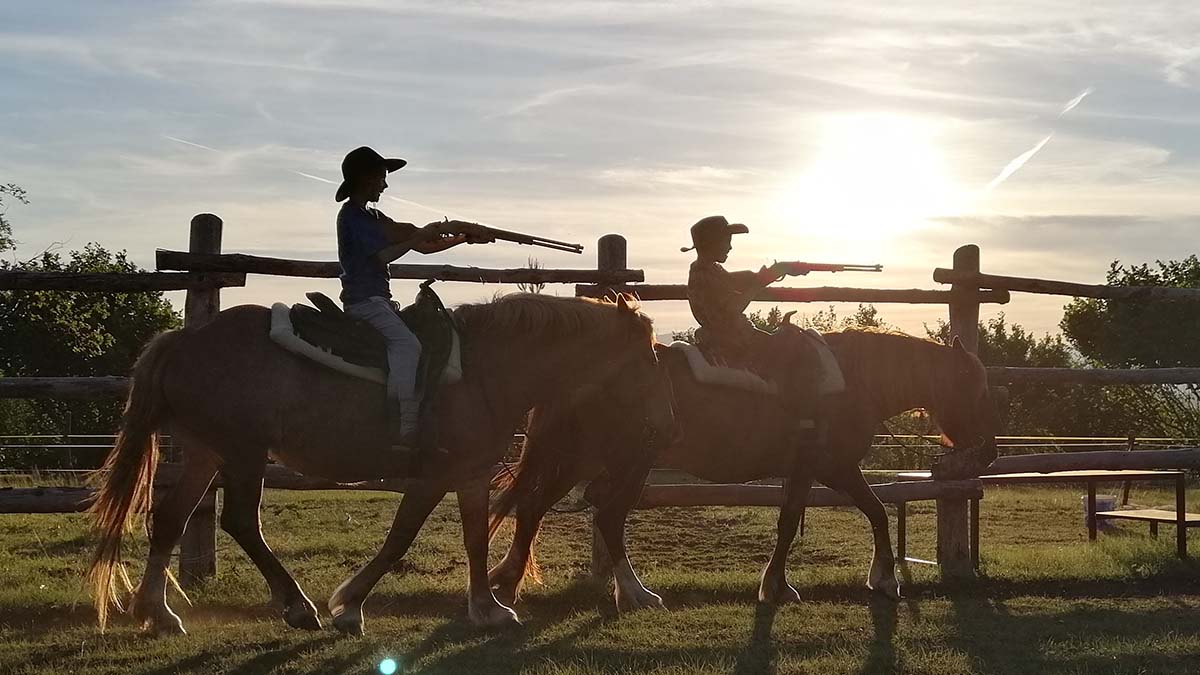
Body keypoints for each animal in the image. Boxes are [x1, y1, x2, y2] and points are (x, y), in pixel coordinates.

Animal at [86, 293, 674, 636]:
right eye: (646, 357)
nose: (663, 423)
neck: (487, 367)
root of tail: (182, 340)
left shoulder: (471, 473)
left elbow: (474, 539)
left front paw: (485, 606)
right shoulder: (435, 475)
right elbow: (401, 539)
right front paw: (349, 605)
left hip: (209, 452)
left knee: (171, 519)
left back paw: (158, 612)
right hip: (242, 453)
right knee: (239, 522)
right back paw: (297, 607)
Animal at [487, 327, 1000, 610]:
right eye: (972, 386)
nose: (989, 453)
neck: (851, 379)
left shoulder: (826, 470)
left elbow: (867, 511)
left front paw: (879, 578)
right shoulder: (828, 467)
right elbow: (799, 519)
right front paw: (780, 586)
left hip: (583, 460)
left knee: (534, 510)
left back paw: (507, 581)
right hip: (619, 463)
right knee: (605, 518)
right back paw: (636, 594)